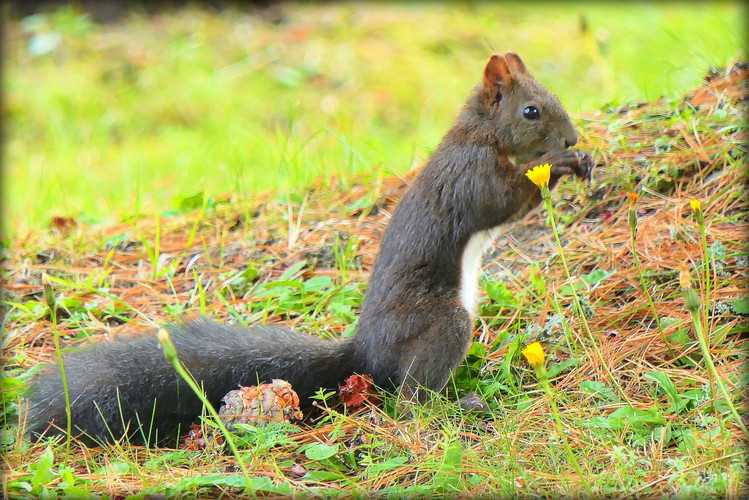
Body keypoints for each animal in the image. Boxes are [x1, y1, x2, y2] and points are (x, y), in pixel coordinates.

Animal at [26, 53, 592, 446]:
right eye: (531, 111)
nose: (572, 137)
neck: (482, 135)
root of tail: (366, 352)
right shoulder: (470, 178)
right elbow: (502, 201)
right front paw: (561, 167)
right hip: (439, 321)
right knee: (411, 394)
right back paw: (456, 406)